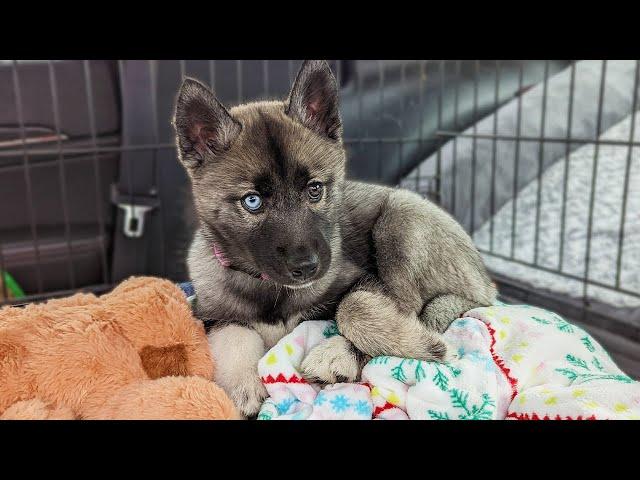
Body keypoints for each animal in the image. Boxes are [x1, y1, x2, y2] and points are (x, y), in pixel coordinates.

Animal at [170, 61, 496, 416]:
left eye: (315, 189)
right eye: (252, 201)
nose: (307, 268)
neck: (271, 288)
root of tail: (485, 279)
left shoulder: (364, 279)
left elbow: (353, 308)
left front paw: (413, 343)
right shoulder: (208, 312)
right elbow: (233, 333)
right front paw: (240, 387)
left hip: (400, 219)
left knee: (417, 306)